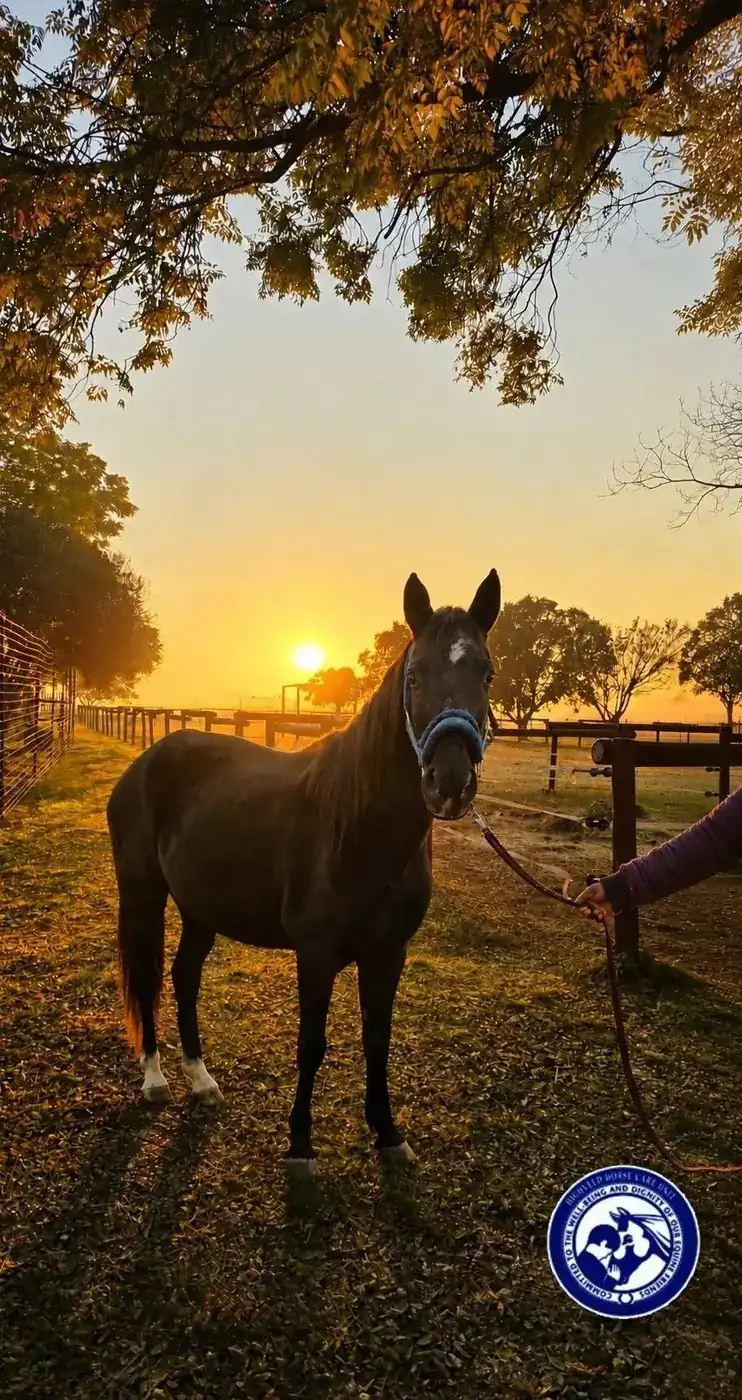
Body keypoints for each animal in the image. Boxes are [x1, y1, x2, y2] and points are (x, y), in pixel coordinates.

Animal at [106, 569, 501, 1175]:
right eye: (415, 676)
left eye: (486, 673)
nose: (449, 782)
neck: (360, 832)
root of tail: (146, 762)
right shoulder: (315, 954)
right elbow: (311, 1045)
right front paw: (299, 1146)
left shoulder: (388, 953)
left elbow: (377, 1040)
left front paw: (389, 1135)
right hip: (144, 896)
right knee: (148, 976)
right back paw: (154, 1079)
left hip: (200, 909)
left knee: (184, 977)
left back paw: (201, 1080)